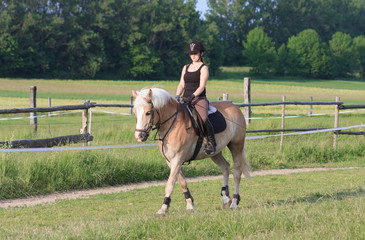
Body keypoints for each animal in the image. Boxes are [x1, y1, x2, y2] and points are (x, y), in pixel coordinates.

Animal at [132, 87, 249, 216]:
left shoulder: (177, 159)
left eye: (148, 112)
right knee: (225, 167)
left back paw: (234, 202)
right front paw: (189, 204)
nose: (139, 136)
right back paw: (226, 198)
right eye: (135, 112)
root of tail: (235, 107)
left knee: (237, 172)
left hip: (236, 146)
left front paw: (163, 208)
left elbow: (170, 184)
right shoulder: (171, 161)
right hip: (215, 152)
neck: (172, 123)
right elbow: (182, 182)